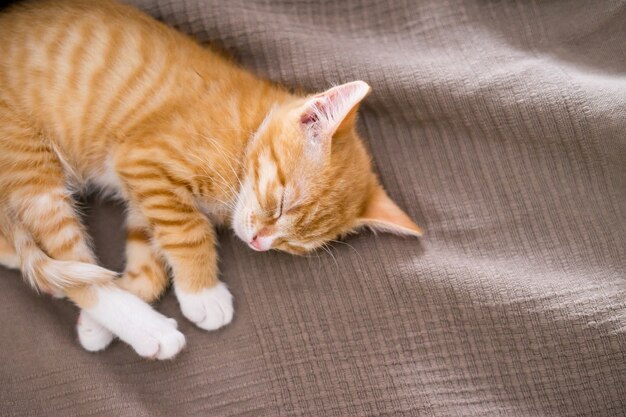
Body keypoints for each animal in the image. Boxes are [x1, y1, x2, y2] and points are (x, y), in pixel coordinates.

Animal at [0, 0, 422, 358]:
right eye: (279, 203)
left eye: (294, 245)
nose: (259, 243)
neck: (246, 133)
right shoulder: (144, 160)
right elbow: (188, 231)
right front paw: (202, 293)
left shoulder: (143, 195)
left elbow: (150, 260)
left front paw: (99, 321)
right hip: (28, 161)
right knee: (70, 258)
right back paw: (148, 329)